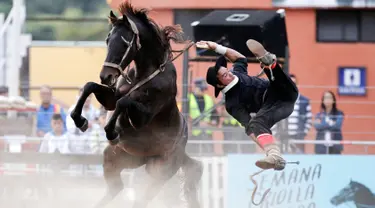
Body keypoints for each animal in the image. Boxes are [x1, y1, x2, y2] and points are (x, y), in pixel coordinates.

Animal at [68, 1, 201, 206]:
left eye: (124, 43)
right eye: (108, 40)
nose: (106, 76)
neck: (145, 74)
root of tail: (182, 154)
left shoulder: (142, 117)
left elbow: (124, 102)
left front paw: (111, 131)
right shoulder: (110, 98)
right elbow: (90, 86)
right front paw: (80, 120)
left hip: (160, 173)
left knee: (141, 199)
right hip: (116, 159)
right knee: (116, 188)